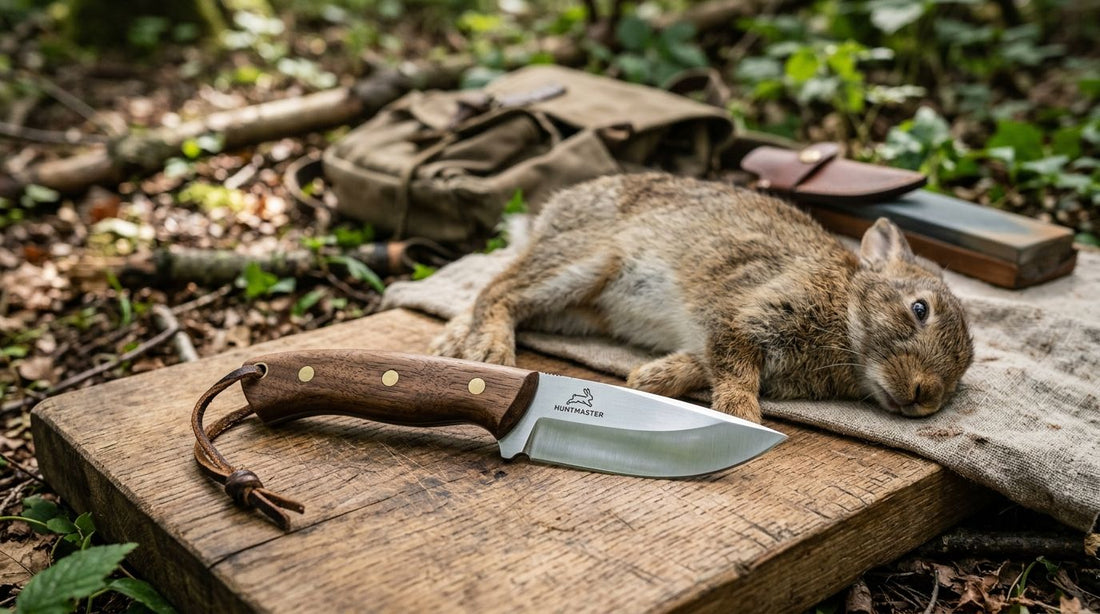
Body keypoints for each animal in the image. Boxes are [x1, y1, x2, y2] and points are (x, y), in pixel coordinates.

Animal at [429, 173, 974, 423]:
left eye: (965, 367)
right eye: (919, 309)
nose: (926, 397)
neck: (845, 309)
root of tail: (551, 212)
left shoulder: (722, 337)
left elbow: (702, 363)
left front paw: (648, 378)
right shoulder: (744, 315)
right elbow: (735, 375)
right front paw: (741, 419)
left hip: (576, 312)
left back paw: (452, 344)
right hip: (583, 263)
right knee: (499, 291)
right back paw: (488, 351)